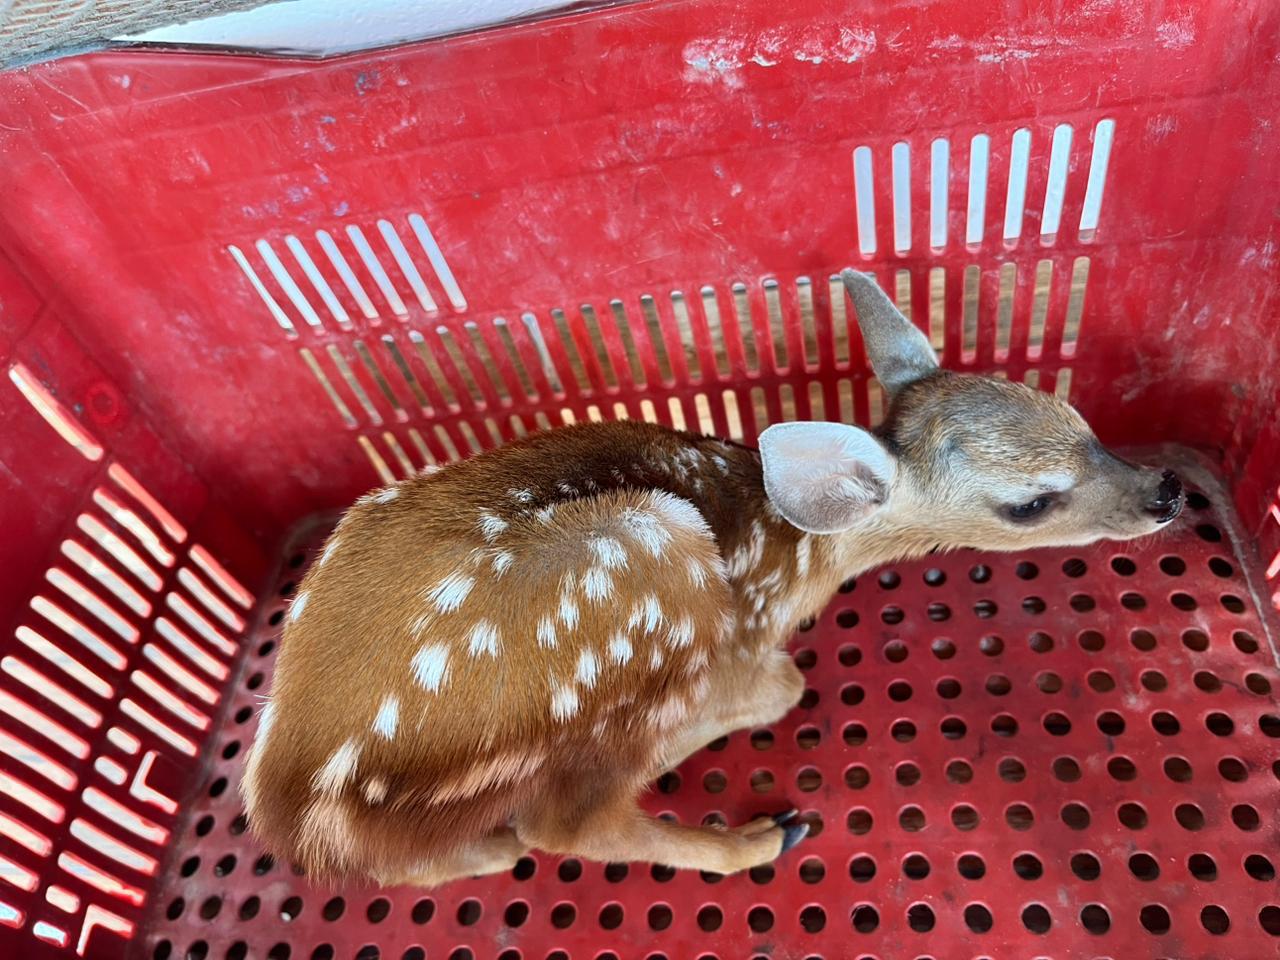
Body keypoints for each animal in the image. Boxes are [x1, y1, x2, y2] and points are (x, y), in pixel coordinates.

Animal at [241, 269, 1185, 885]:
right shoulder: (739, 631)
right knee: (563, 825)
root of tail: (292, 807)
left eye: (1075, 415)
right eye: (1031, 502)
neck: (795, 552)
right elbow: (785, 684)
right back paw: (760, 836)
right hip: (641, 571)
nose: (1167, 491)